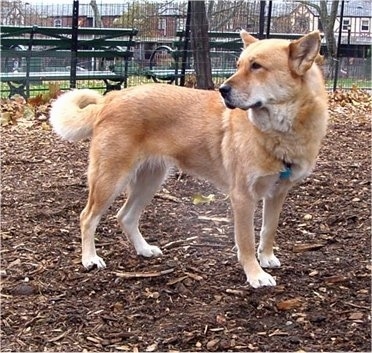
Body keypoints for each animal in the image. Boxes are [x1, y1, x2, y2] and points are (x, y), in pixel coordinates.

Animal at [50, 31, 326, 288]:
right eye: (238, 65)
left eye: (257, 66)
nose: (222, 90)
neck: (279, 131)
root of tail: (110, 98)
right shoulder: (242, 197)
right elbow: (246, 241)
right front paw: (255, 274)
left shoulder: (278, 192)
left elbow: (269, 229)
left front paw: (266, 258)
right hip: (110, 179)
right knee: (87, 217)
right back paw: (89, 258)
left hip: (150, 180)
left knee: (125, 216)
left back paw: (143, 249)